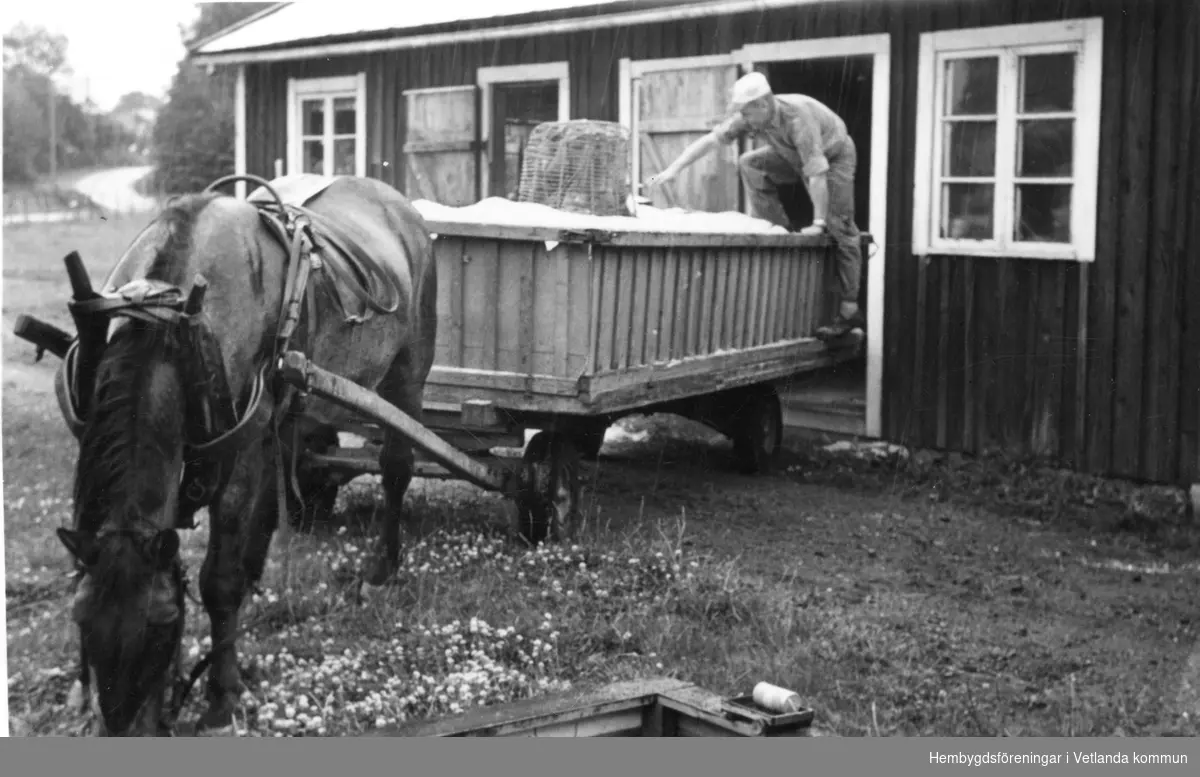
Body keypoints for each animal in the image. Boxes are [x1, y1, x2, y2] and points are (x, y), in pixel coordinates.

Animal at [52, 172, 436, 738]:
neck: (169, 322)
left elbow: (218, 580)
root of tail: (395, 201)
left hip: (406, 371)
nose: (130, 728)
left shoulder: (239, 451)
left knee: (395, 469)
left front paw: (222, 694)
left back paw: (381, 566)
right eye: (82, 620)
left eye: (164, 625)